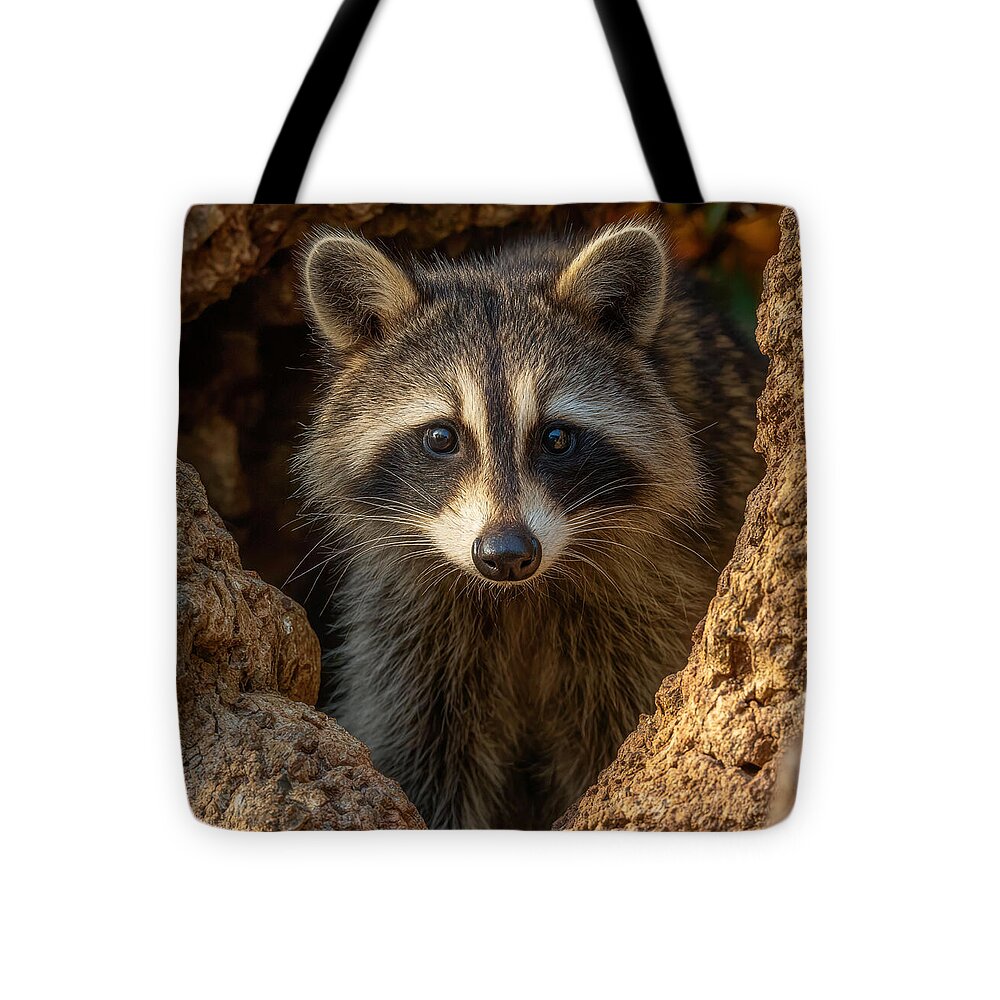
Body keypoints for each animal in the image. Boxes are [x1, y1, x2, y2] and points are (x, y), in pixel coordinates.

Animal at [294, 217, 764, 829]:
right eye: (441, 437)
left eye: (556, 438)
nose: (507, 553)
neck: (520, 597)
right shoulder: (409, 617)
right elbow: (418, 744)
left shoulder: (652, 596)